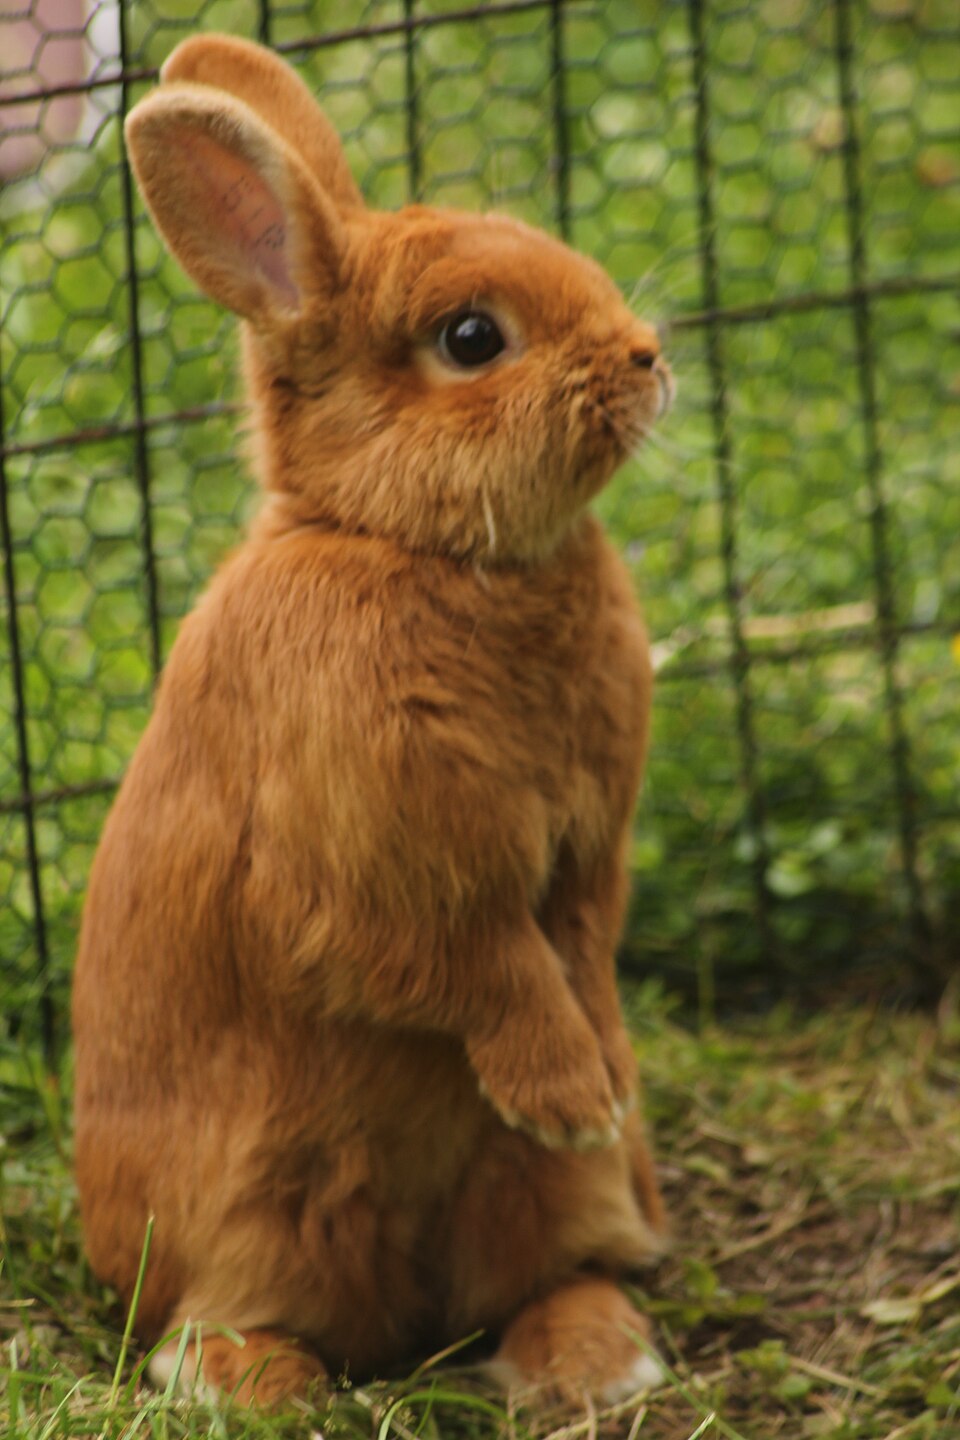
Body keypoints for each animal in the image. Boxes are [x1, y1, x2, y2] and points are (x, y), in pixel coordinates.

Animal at [71, 32, 674, 1411]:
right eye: (471, 337)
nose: (645, 355)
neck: (417, 547)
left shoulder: (587, 857)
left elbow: (579, 948)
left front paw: (608, 1081)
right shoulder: (374, 868)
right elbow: (487, 962)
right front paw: (569, 1089)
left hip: (533, 1197)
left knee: (539, 1271)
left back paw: (595, 1355)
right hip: (250, 1205)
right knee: (220, 1310)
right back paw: (250, 1382)